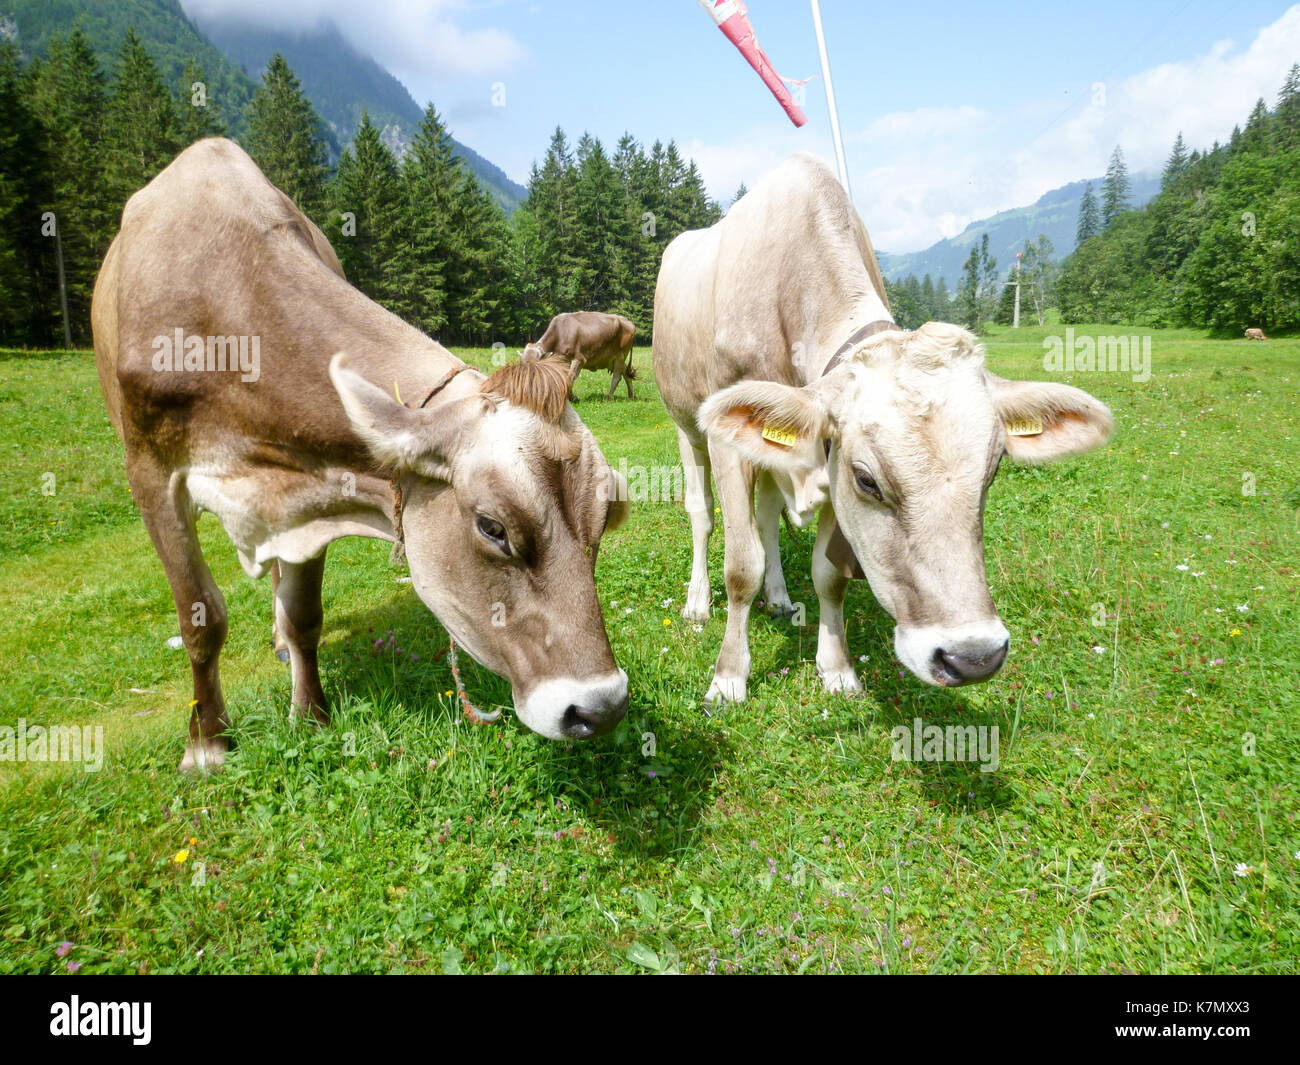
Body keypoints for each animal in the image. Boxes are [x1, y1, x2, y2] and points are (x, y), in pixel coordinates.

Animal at [93, 138, 630, 772]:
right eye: (493, 527)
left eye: (604, 520)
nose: (600, 708)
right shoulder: (152, 476)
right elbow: (201, 616)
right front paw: (207, 744)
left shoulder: (312, 488)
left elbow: (304, 614)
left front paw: (310, 716)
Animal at [653, 153, 1114, 705]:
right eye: (868, 479)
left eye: (994, 469)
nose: (973, 657)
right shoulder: (733, 445)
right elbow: (742, 565)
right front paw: (728, 678)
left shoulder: (823, 459)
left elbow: (828, 574)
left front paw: (836, 668)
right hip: (687, 425)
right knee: (702, 516)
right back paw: (698, 603)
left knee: (766, 518)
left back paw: (780, 597)